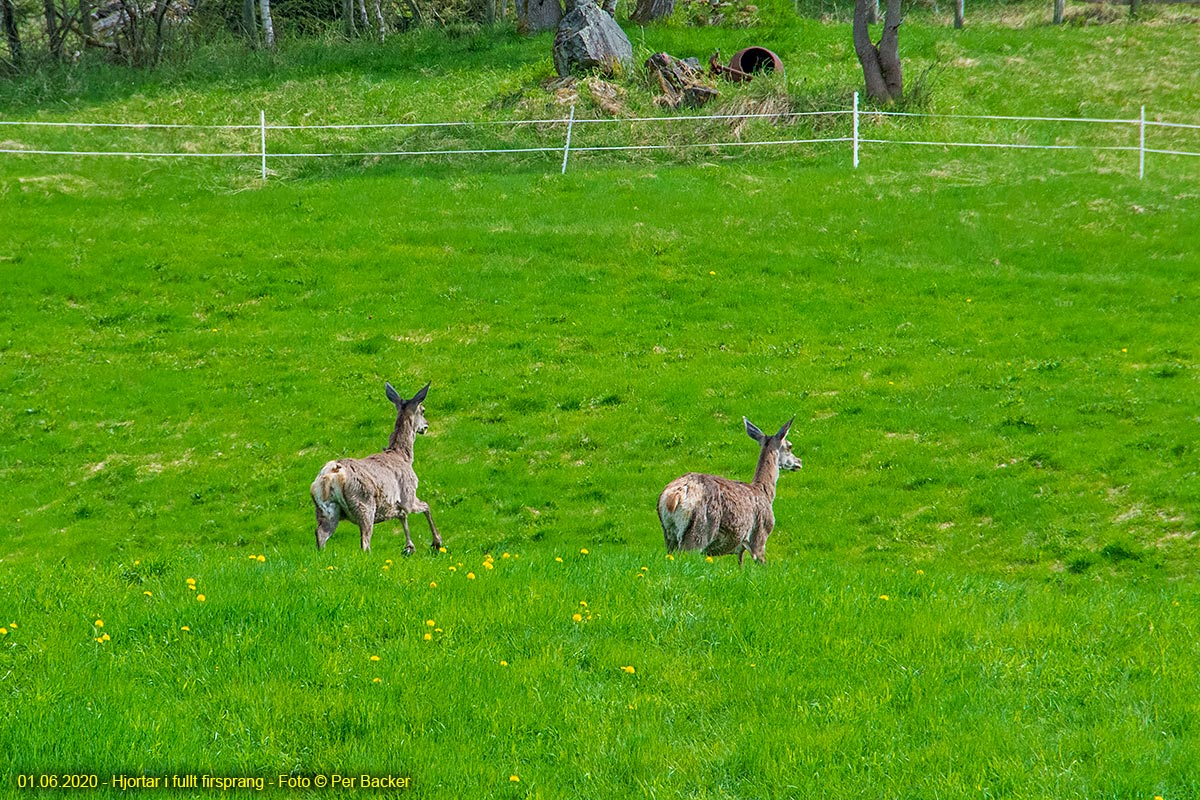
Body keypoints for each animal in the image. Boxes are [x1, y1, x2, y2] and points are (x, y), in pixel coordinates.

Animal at [312, 381, 444, 556]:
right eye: (423, 410)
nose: (426, 426)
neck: (403, 456)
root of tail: (333, 473)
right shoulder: (408, 494)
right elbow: (425, 507)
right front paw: (437, 542)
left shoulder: (394, 504)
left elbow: (402, 515)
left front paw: (409, 547)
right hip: (364, 504)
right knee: (364, 542)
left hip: (326, 508)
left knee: (320, 533)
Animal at [662, 417, 801, 566]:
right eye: (789, 446)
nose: (799, 462)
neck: (766, 493)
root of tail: (674, 496)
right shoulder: (760, 536)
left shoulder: (741, 549)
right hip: (699, 531)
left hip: (669, 535)